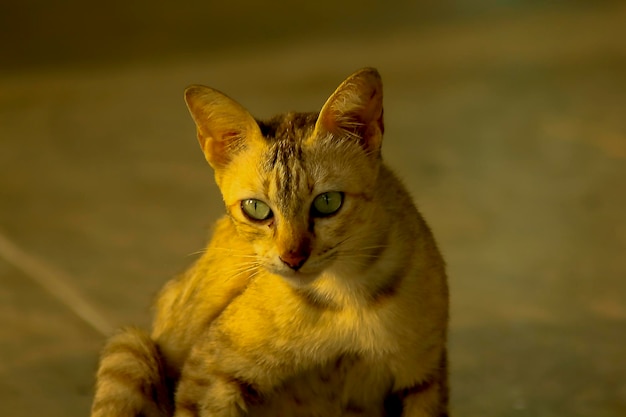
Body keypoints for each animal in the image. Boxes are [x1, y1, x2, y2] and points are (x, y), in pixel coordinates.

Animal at [90, 68, 446, 416]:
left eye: (328, 202)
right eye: (256, 209)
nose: (292, 258)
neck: (347, 297)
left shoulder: (424, 375)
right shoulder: (209, 374)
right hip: (131, 348)